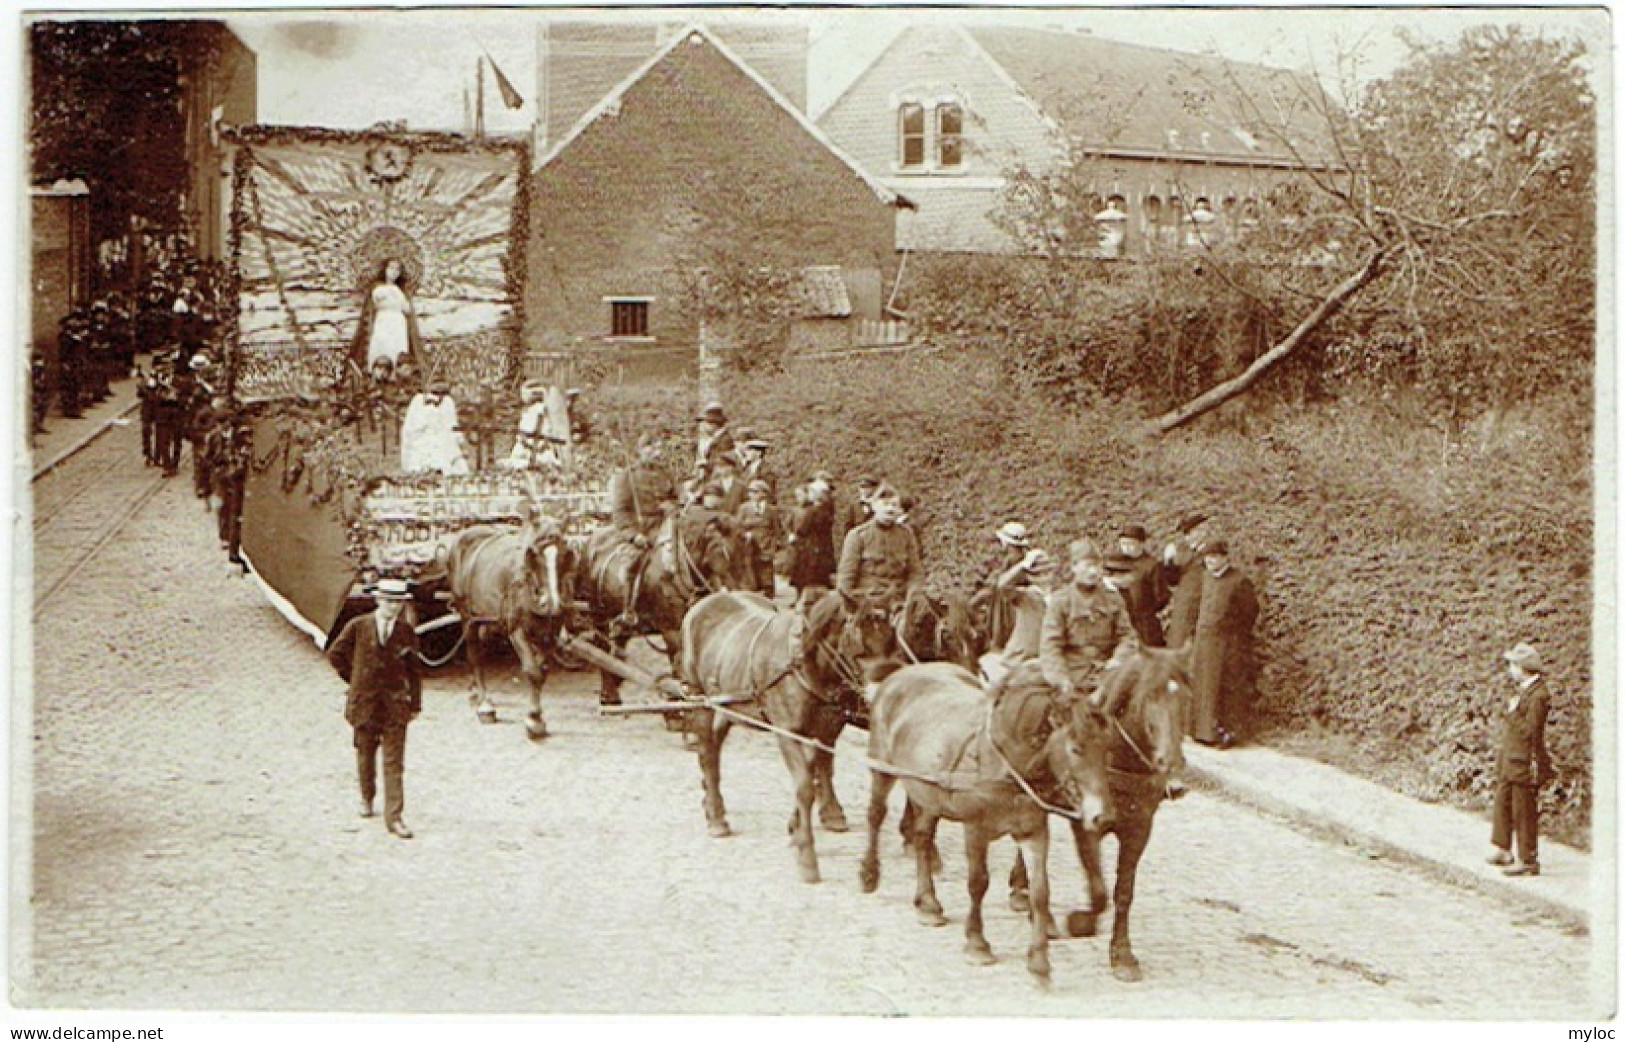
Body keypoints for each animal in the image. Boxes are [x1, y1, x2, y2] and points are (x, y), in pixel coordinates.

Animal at [445, 516, 578, 734]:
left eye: (564, 554)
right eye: (534, 555)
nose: (551, 603)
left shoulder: (550, 633)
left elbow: (542, 670)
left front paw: (536, 717)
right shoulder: (517, 630)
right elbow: (532, 671)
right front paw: (533, 719)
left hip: (488, 620)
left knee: (482, 649)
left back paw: (475, 691)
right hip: (468, 616)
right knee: (474, 654)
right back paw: (485, 705)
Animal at [575, 510, 750, 708]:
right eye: (725, 552)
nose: (746, 589)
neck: (678, 570)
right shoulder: (671, 630)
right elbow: (677, 662)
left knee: (616, 648)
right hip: (599, 615)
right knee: (602, 648)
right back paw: (608, 694)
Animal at [676, 588, 903, 884]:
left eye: (892, 640)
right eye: (858, 646)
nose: (879, 695)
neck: (804, 663)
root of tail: (707, 600)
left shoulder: (822, 730)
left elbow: (814, 772)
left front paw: (796, 828)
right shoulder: (787, 733)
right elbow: (805, 787)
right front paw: (807, 857)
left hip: (730, 705)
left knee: (714, 746)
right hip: (701, 699)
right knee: (707, 753)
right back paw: (716, 816)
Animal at [864, 663, 1118, 981]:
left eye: (1107, 746)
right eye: (1076, 748)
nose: (1103, 816)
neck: (1004, 760)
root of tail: (903, 672)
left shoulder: (1033, 831)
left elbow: (1040, 891)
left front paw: (1039, 960)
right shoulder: (975, 828)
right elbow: (978, 883)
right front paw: (977, 944)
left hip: (928, 793)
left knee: (922, 838)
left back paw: (928, 903)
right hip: (882, 770)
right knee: (875, 815)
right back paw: (869, 874)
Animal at [1001, 646, 1196, 981]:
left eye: (1185, 697)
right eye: (1150, 696)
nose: (1172, 769)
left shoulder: (1140, 829)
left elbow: (1123, 893)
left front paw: (1123, 955)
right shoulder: (1085, 824)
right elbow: (1099, 889)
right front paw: (1081, 922)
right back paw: (1037, 910)